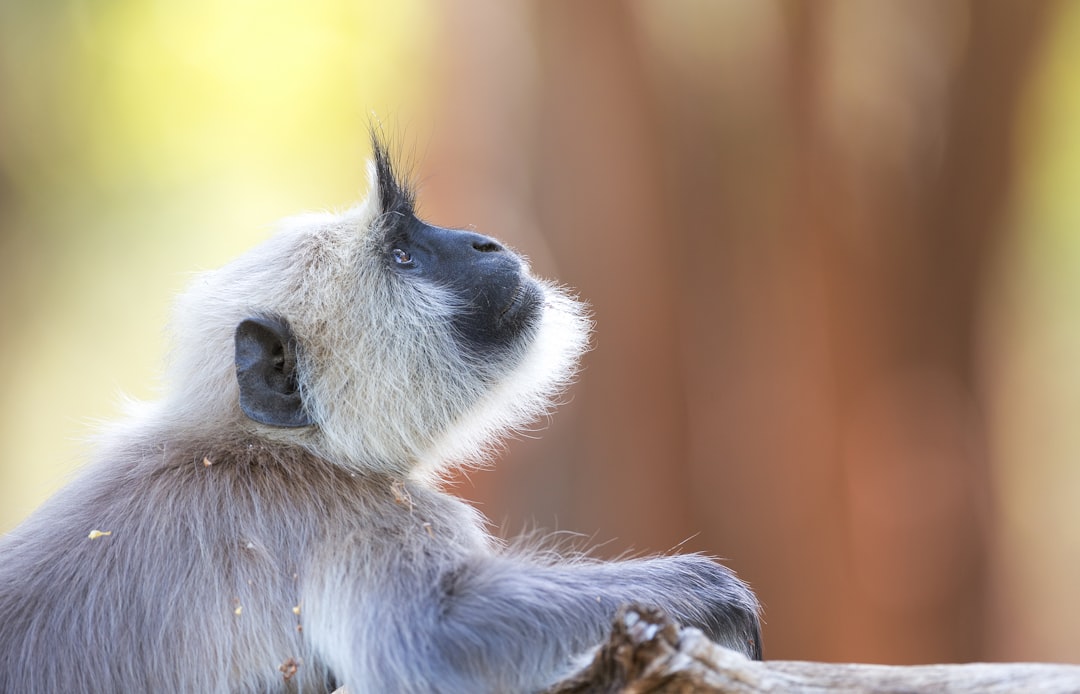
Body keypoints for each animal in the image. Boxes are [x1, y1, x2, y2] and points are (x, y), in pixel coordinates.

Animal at [0, 135, 760, 694]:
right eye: (403, 256)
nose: (483, 242)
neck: (266, 445)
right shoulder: (350, 513)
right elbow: (429, 640)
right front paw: (705, 589)